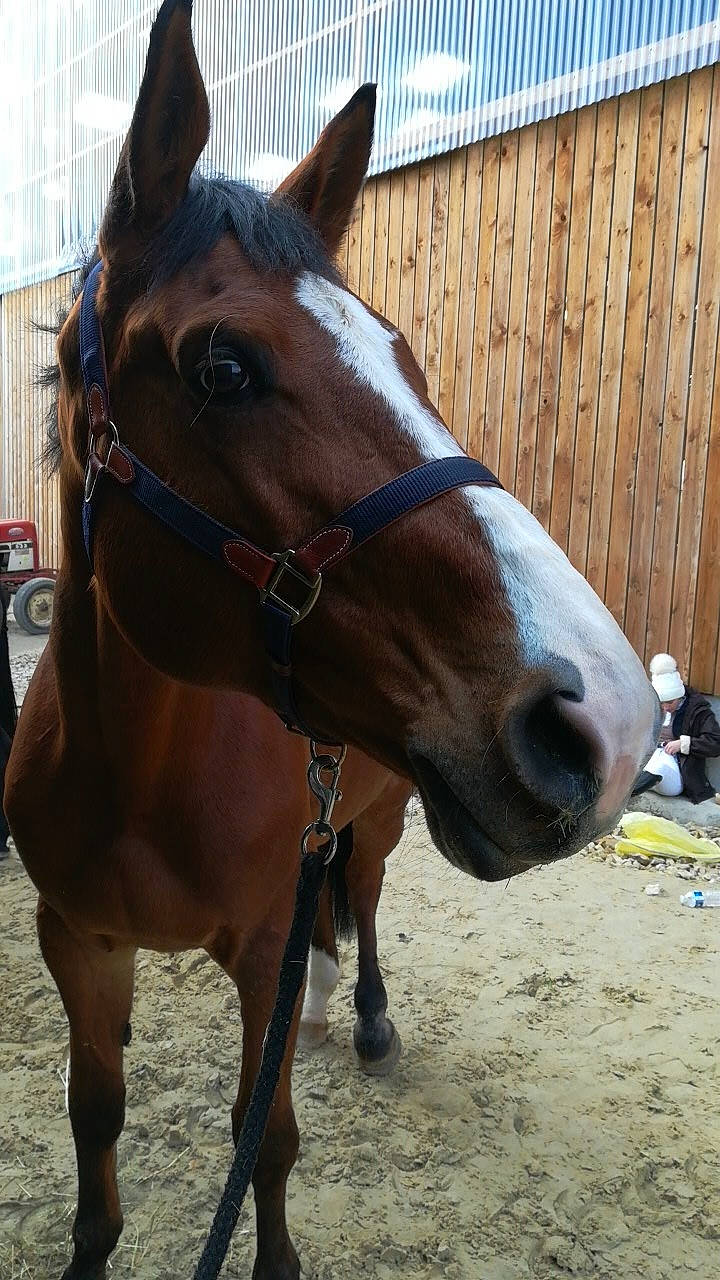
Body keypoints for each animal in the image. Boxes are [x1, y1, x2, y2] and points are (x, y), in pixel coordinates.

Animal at [4, 2, 659, 1277]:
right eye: (222, 365)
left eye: (406, 356)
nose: (606, 719)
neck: (134, 775)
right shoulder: (78, 941)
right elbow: (93, 1124)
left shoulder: (257, 941)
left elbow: (266, 1139)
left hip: (388, 813)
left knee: (358, 895)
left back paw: (359, 1013)